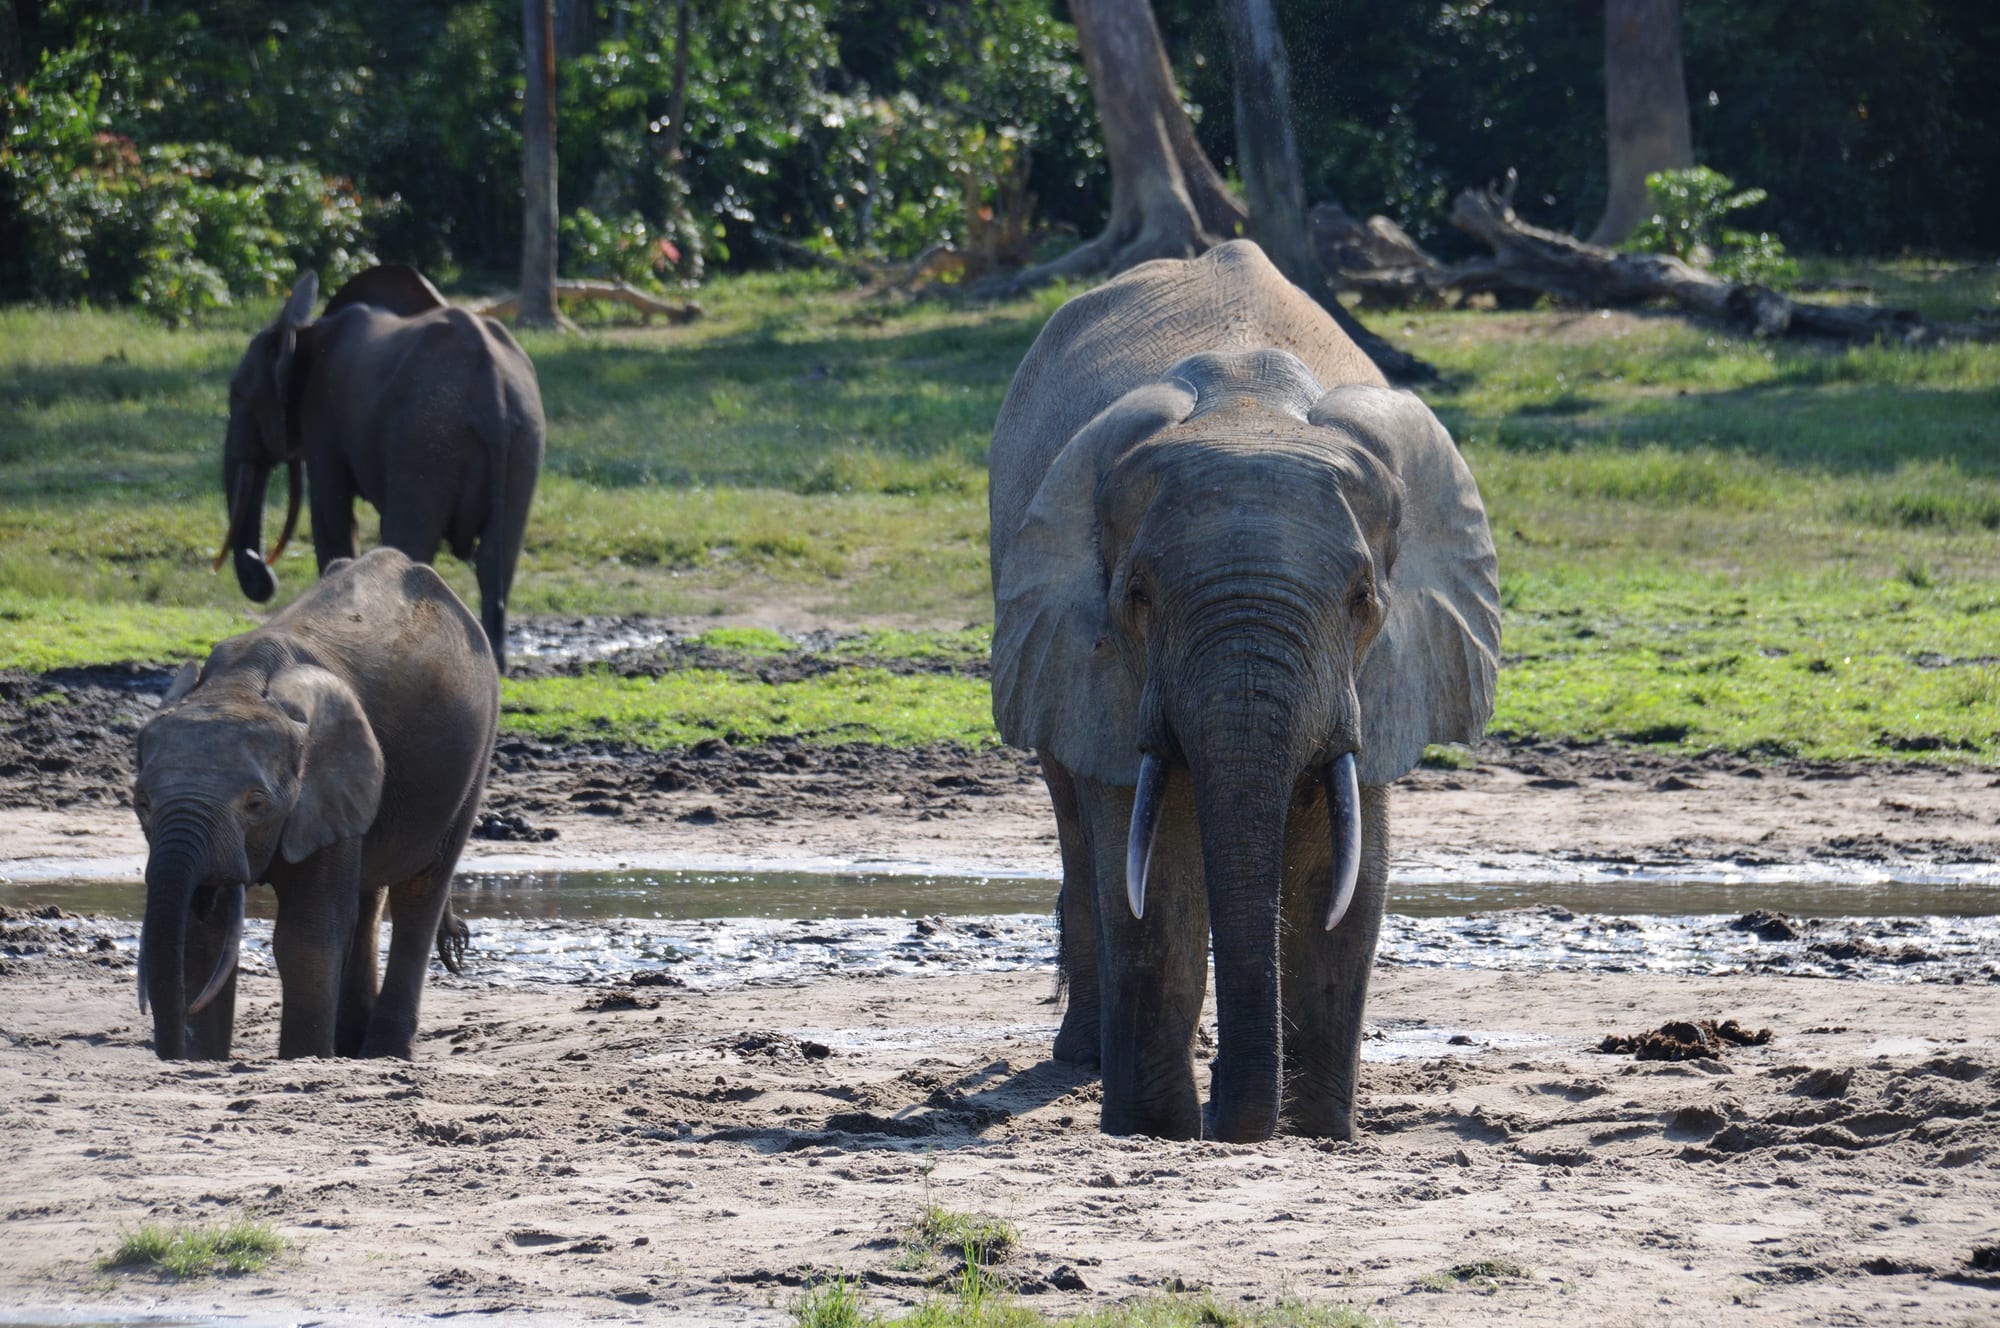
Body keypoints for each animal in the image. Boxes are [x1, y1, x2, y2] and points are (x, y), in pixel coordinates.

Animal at [132, 548, 499, 1061]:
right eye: (142, 802)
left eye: (256, 803)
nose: (172, 1050)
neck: (240, 684)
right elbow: (201, 933)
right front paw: (205, 1059)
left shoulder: (327, 784)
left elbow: (306, 937)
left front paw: (300, 1059)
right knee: (368, 898)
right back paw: (349, 1049)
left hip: (474, 754)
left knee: (420, 893)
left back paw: (382, 1053)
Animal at [217, 264, 545, 671]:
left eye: (238, 394)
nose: (260, 567)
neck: (304, 333)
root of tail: (493, 393)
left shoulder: (323, 413)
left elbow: (332, 517)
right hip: (524, 438)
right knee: (497, 555)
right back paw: (495, 664)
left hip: (425, 440)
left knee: (410, 544)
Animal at [989, 241, 1499, 1142]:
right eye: (1138, 597)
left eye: (1363, 599)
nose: (1229, 1104)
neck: (1249, 409)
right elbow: (1153, 881)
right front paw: (1155, 1132)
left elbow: (1343, 876)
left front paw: (1317, 1134)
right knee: (1080, 827)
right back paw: (1083, 1060)